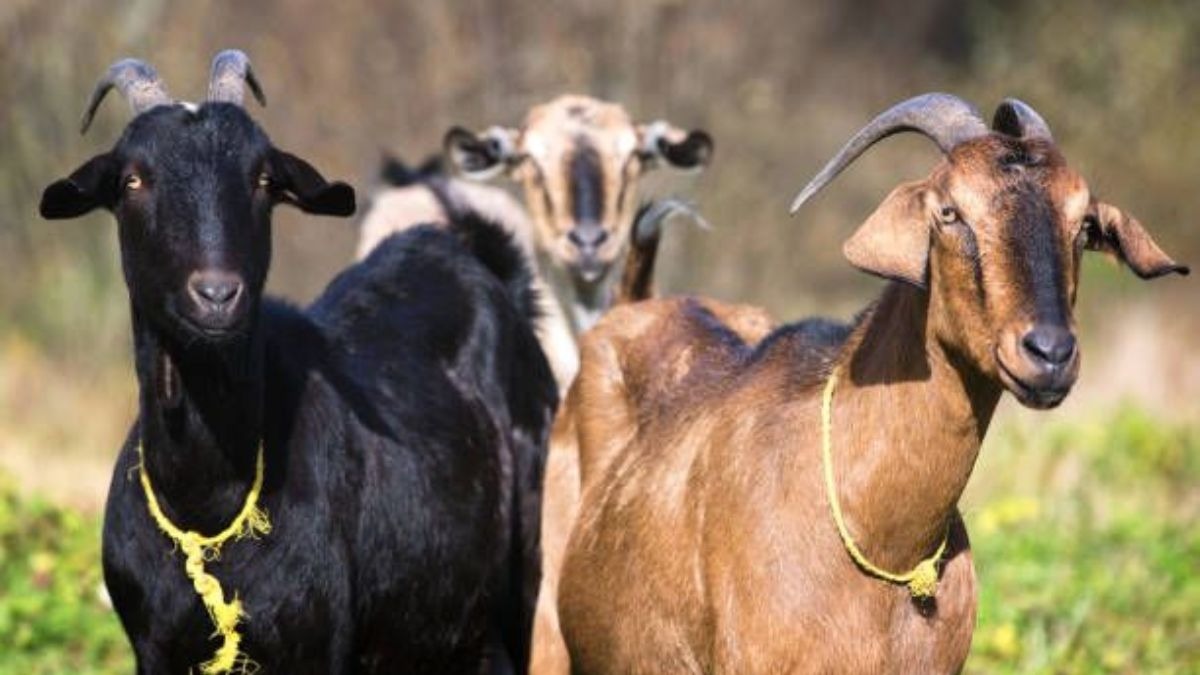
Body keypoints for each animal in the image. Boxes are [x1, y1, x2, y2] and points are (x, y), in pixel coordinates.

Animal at [40, 52, 557, 674]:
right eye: (133, 179)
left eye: (264, 179)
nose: (217, 295)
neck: (205, 497)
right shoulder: (153, 647)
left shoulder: (320, 641)